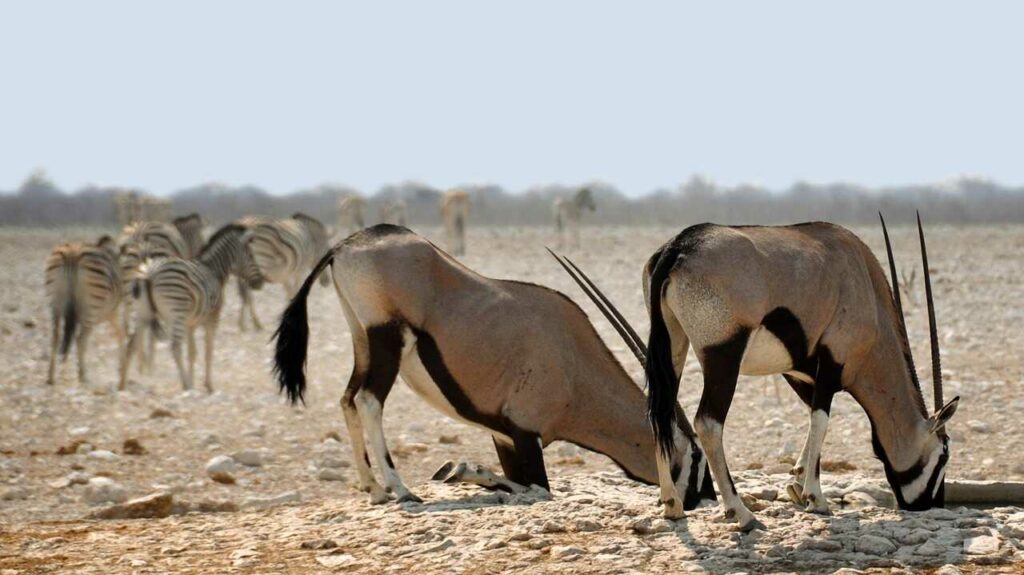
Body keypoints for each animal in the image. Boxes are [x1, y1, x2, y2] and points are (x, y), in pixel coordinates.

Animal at [45, 233, 123, 384]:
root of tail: (72, 253)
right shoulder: (116, 312)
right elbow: (123, 336)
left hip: (55, 302)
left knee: (56, 336)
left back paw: (50, 376)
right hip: (91, 307)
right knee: (80, 339)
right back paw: (83, 375)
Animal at [119, 222, 264, 390]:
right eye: (251, 256)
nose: (260, 282)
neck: (213, 270)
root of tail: (150, 272)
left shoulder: (190, 323)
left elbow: (192, 353)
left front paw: (194, 382)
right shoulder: (212, 318)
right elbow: (208, 351)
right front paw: (207, 385)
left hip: (143, 313)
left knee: (131, 345)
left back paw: (122, 384)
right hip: (177, 312)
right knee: (175, 347)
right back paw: (185, 384)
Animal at [276, 224, 716, 505]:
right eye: (696, 457)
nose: (707, 497)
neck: (575, 368)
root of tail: (345, 245)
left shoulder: (503, 437)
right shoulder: (525, 434)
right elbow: (537, 489)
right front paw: (456, 470)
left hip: (362, 339)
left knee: (348, 399)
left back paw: (375, 489)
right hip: (386, 338)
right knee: (368, 401)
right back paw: (400, 489)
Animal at [643, 216, 954, 532]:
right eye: (944, 453)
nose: (929, 504)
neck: (867, 288)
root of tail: (679, 246)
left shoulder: (798, 372)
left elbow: (812, 417)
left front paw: (797, 484)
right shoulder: (832, 361)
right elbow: (821, 420)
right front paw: (816, 498)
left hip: (673, 346)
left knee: (660, 414)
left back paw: (672, 505)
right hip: (724, 354)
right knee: (708, 423)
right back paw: (742, 513)